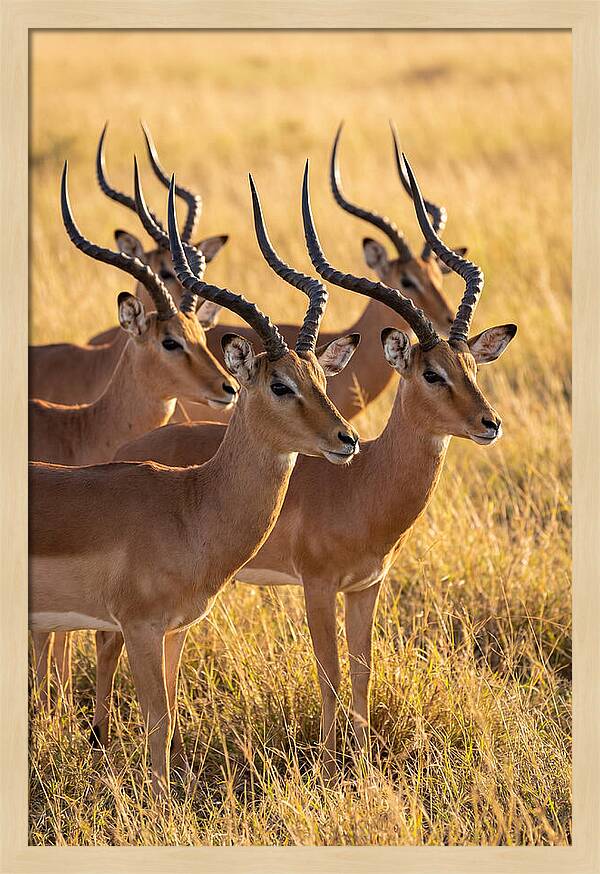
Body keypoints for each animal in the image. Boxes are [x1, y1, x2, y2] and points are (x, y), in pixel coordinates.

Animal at [29, 173, 360, 798]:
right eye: (279, 384)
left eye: (320, 377)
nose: (346, 438)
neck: (190, 508)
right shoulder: (138, 627)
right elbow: (156, 720)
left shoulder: (175, 630)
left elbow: (172, 711)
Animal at [108, 158, 516, 778]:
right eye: (431, 373)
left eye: (471, 365)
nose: (489, 423)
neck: (363, 483)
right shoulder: (318, 586)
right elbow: (329, 674)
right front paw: (329, 765)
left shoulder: (367, 587)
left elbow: (363, 672)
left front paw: (364, 761)